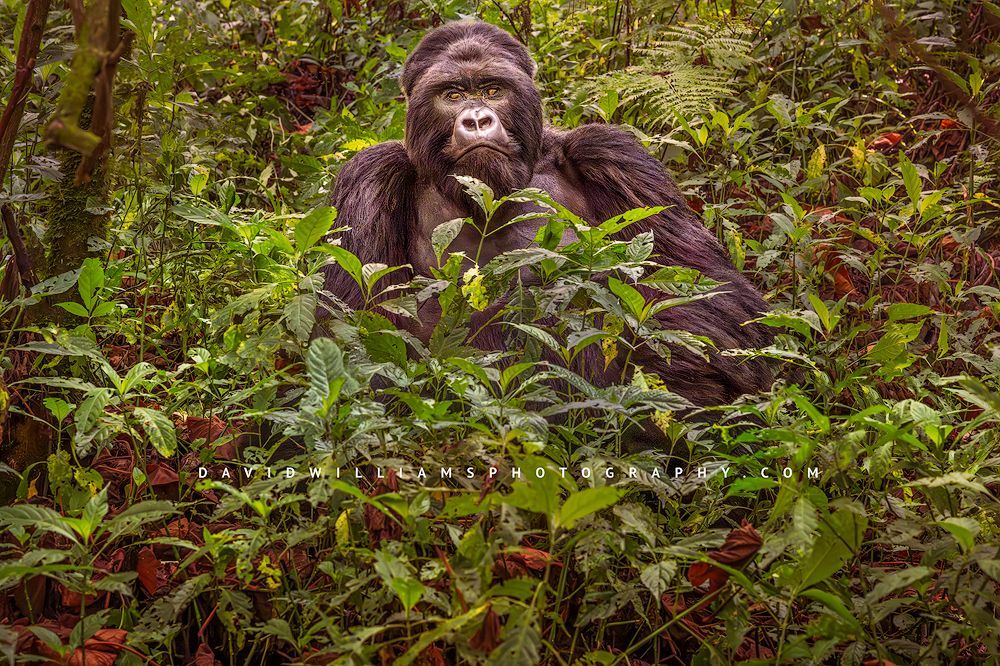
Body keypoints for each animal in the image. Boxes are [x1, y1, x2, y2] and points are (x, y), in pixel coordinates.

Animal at [322, 20, 776, 407]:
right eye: (451, 95)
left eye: (492, 90)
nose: (477, 119)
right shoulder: (369, 175)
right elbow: (353, 335)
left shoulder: (613, 152)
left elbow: (719, 302)